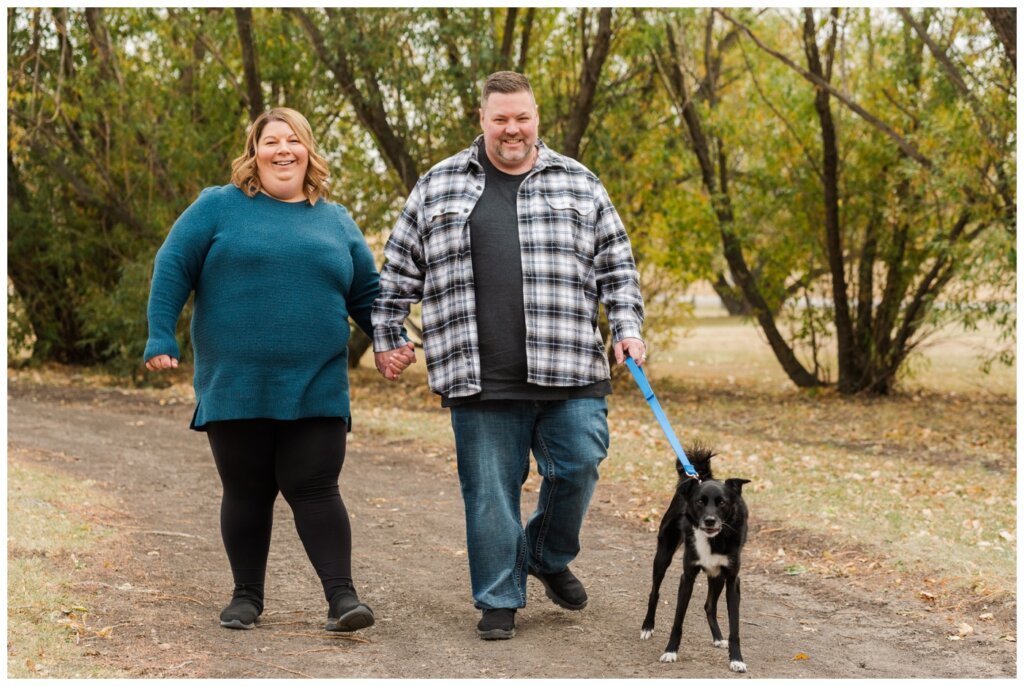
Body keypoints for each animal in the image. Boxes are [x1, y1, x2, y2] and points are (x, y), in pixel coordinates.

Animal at [638, 446, 753, 675]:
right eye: (700, 501)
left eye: (722, 502)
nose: (710, 521)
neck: (713, 539)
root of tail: (699, 475)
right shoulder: (688, 576)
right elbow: (677, 620)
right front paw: (670, 651)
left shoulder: (732, 581)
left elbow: (734, 627)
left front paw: (736, 659)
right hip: (662, 556)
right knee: (654, 592)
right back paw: (647, 626)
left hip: (717, 576)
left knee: (709, 606)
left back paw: (718, 638)